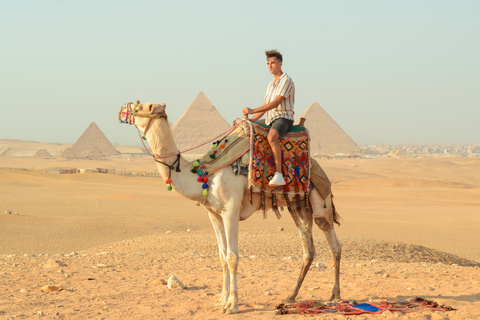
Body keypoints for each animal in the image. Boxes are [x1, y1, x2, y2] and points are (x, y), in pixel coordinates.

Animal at [118, 101, 342, 314]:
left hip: (321, 202)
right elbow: (222, 256)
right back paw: (291, 296)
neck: (205, 174)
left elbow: (232, 257)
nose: (122, 110)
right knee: (308, 250)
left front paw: (232, 305)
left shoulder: (230, 212)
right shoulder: (214, 214)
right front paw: (222, 300)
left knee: (334, 244)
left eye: (140, 106)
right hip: (298, 206)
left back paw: (336, 296)